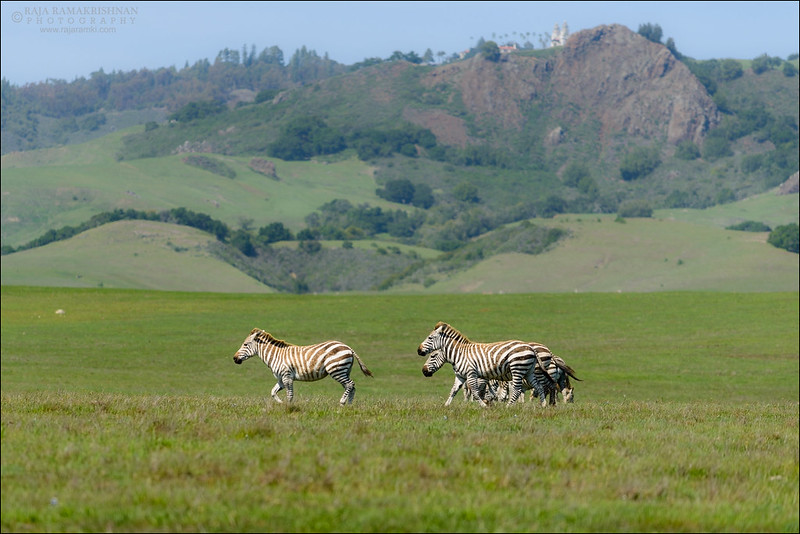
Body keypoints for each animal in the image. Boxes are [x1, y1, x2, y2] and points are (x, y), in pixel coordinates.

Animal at [232, 328, 373, 405]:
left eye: (245, 344)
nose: (234, 358)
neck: (276, 355)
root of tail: (348, 347)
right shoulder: (281, 379)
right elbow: (273, 392)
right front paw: (282, 404)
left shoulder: (287, 376)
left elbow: (290, 395)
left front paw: (289, 408)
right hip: (344, 370)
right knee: (351, 386)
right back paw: (349, 406)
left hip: (336, 369)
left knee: (350, 384)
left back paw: (342, 403)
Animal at [417, 322, 549, 406]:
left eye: (433, 356)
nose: (419, 350)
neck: (459, 354)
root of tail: (531, 348)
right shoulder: (460, 376)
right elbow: (453, 391)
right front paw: (446, 406)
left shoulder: (471, 373)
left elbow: (475, 393)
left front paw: (483, 406)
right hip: (528, 371)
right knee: (539, 386)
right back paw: (543, 405)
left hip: (517, 368)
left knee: (516, 390)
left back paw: (508, 408)